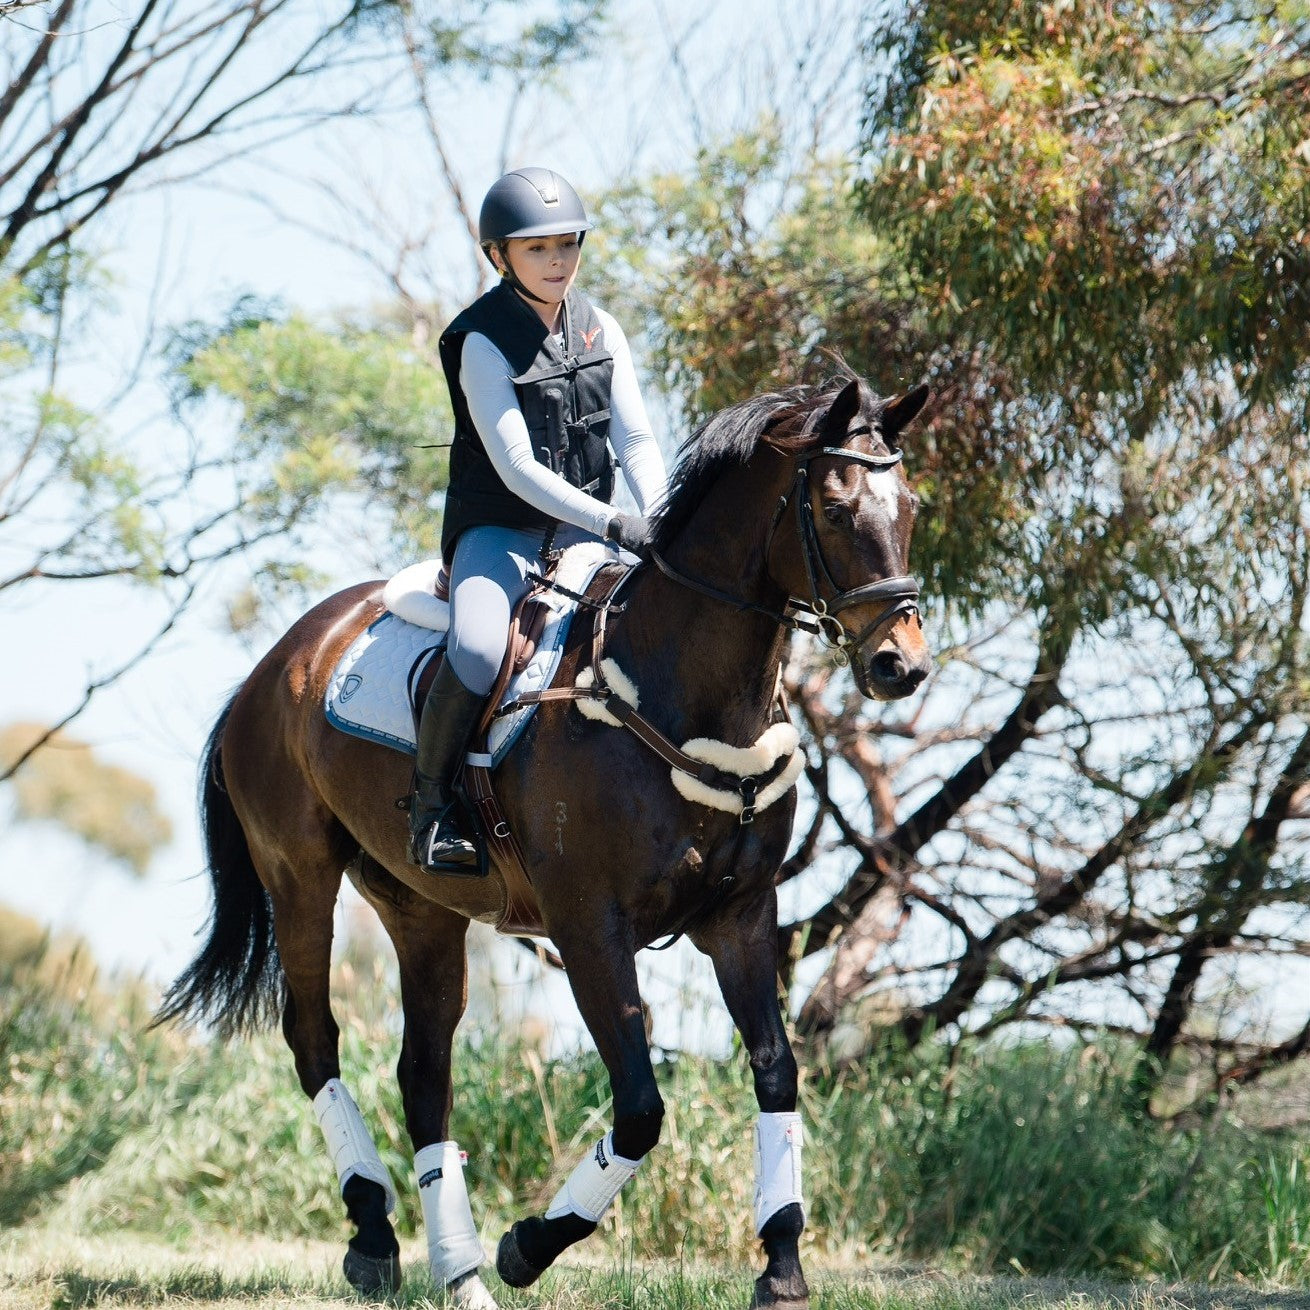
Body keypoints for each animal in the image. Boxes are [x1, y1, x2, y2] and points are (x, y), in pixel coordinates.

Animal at [155, 374, 932, 1304]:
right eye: (836, 506)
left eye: (912, 506)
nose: (902, 665)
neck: (680, 688)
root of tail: (275, 663)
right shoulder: (589, 926)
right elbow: (639, 1108)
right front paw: (530, 1244)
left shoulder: (739, 918)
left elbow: (777, 1072)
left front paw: (781, 1264)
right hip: (299, 876)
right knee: (315, 1040)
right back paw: (377, 1234)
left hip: (422, 910)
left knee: (424, 1071)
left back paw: (456, 1270)